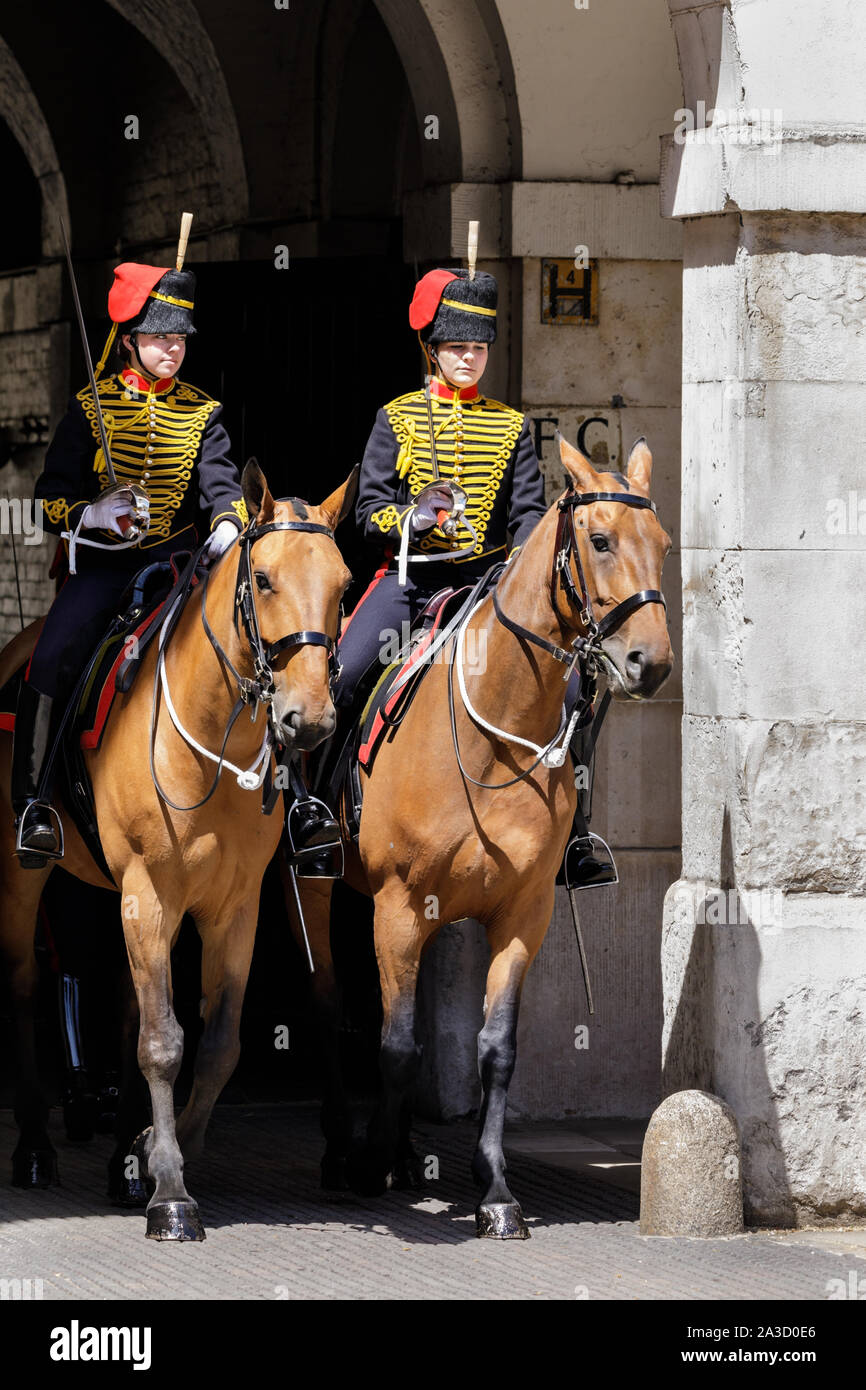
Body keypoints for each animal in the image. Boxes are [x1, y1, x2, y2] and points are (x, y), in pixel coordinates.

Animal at [0, 464, 354, 1239]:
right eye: (264, 578)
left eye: (344, 584)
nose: (310, 719)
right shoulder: (149, 892)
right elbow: (164, 1042)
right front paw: (169, 1191)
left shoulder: (234, 906)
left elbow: (217, 1044)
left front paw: (157, 1152)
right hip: (24, 879)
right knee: (26, 990)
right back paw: (35, 1148)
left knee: (129, 1006)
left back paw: (120, 1160)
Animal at [301, 433, 675, 1239]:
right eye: (600, 540)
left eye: (663, 543)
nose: (651, 662)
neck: (494, 732)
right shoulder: (398, 905)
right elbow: (397, 1046)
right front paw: (370, 1163)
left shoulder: (523, 911)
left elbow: (496, 1049)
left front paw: (497, 1189)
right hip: (318, 892)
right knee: (330, 1004)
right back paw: (342, 1150)